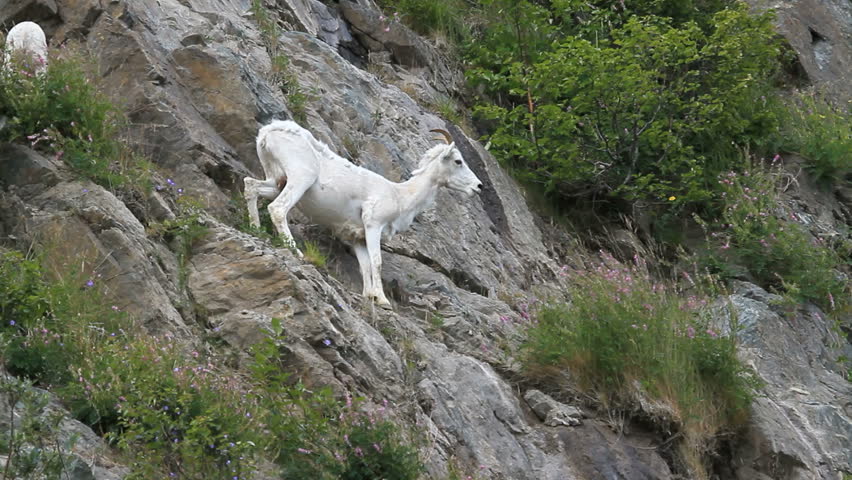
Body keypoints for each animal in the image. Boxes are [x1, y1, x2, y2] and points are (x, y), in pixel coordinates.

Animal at [244, 120, 483, 307]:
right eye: (458, 161)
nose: (478, 186)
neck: (400, 195)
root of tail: (269, 132)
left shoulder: (356, 238)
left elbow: (365, 265)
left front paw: (370, 296)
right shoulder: (373, 226)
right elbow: (377, 262)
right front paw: (384, 301)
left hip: (276, 181)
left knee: (250, 187)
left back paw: (255, 230)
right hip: (300, 180)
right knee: (277, 209)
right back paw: (297, 252)